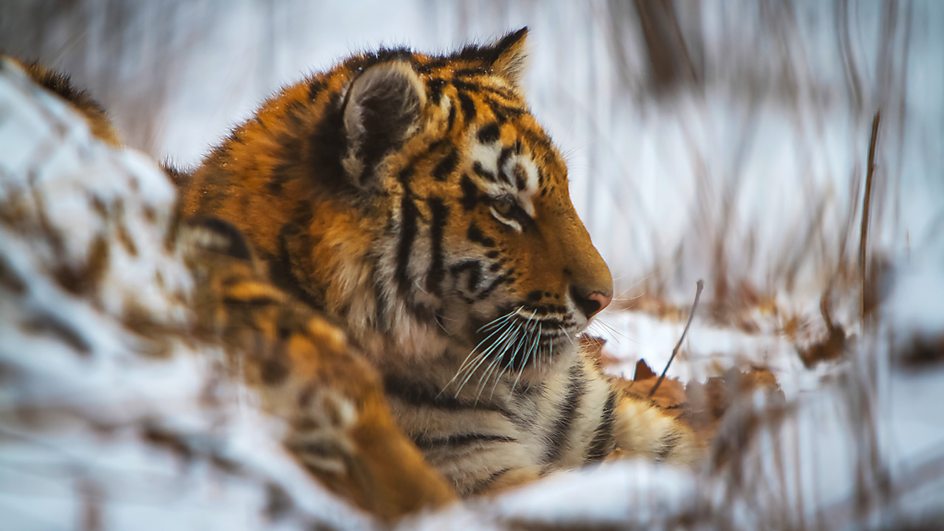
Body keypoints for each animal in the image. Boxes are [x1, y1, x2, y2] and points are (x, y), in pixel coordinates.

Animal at [179, 27, 703, 496]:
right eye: (506, 206)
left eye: (564, 190)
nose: (601, 299)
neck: (521, 395)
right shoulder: (478, 471)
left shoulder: (607, 419)